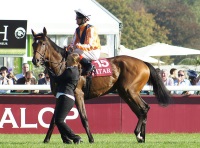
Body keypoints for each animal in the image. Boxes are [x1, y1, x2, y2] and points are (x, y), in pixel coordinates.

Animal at [30, 27, 170, 143]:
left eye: (43, 43)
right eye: (33, 44)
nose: (35, 60)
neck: (63, 66)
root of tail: (143, 63)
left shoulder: (78, 94)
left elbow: (83, 117)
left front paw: (90, 139)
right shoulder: (60, 96)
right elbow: (55, 118)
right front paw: (49, 139)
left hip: (130, 91)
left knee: (144, 108)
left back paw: (139, 134)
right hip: (125, 93)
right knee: (140, 111)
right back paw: (141, 136)